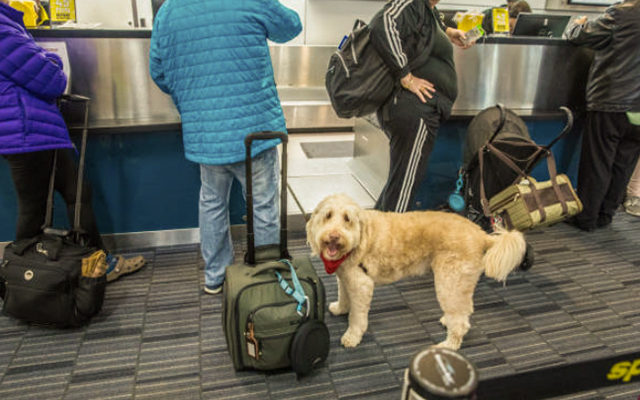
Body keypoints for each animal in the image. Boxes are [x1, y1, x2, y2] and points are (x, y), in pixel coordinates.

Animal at [308, 193, 528, 350]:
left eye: (347, 219)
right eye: (327, 216)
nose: (334, 236)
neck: (358, 240)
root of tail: (481, 234)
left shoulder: (362, 285)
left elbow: (357, 317)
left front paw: (352, 336)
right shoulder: (346, 278)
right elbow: (344, 297)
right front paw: (340, 308)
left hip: (449, 281)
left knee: (461, 322)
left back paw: (449, 345)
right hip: (461, 283)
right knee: (464, 310)